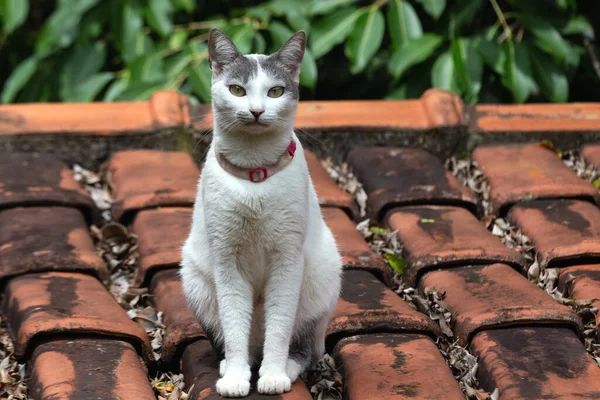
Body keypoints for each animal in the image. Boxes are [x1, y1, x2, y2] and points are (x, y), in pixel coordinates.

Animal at [179, 28, 342, 396]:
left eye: (276, 91)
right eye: (237, 90)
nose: (255, 110)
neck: (254, 174)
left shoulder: (288, 258)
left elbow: (279, 327)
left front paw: (273, 375)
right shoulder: (227, 260)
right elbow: (234, 325)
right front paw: (236, 379)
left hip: (323, 280)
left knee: (306, 349)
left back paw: (287, 367)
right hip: (195, 280)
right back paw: (229, 365)